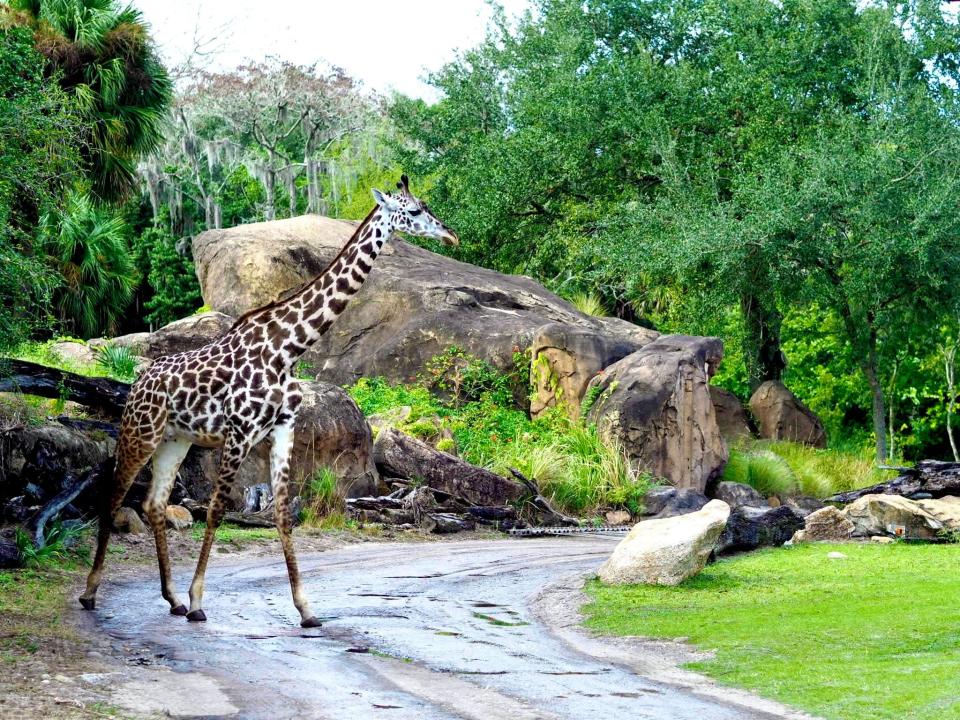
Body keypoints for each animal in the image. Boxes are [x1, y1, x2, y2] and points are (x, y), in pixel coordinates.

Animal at [79, 177, 458, 628]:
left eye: (427, 206)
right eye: (414, 211)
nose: (450, 235)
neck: (288, 349)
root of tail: (138, 381)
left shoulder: (282, 428)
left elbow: (281, 513)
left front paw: (306, 609)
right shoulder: (240, 430)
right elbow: (216, 510)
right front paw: (199, 600)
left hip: (176, 440)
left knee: (154, 503)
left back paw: (170, 599)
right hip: (140, 432)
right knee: (114, 495)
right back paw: (91, 593)